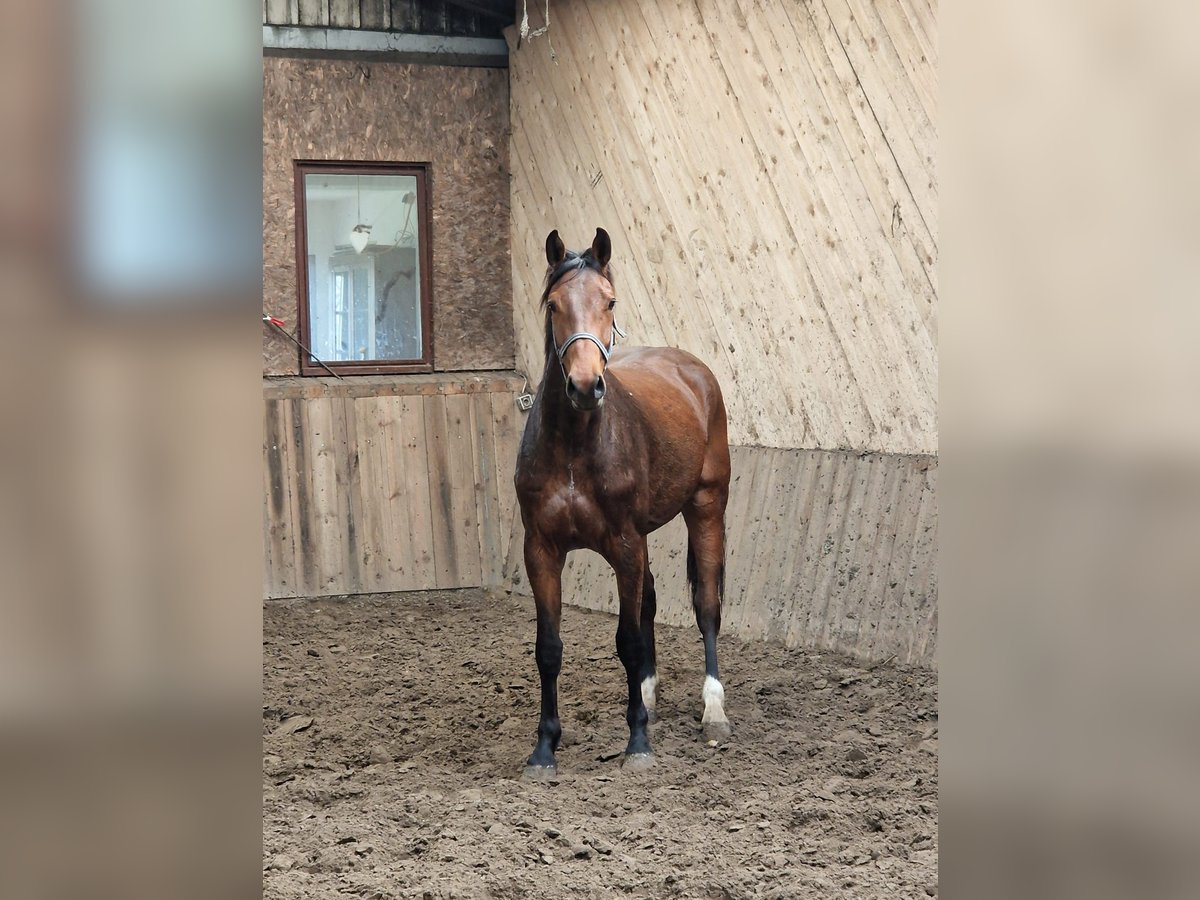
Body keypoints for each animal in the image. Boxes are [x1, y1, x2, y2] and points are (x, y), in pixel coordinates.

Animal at [516, 229, 729, 777]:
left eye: (609, 302)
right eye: (553, 305)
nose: (585, 386)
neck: (575, 447)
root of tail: (692, 369)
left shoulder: (625, 545)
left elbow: (628, 641)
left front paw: (638, 744)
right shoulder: (542, 550)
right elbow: (549, 648)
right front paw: (544, 748)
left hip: (707, 507)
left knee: (707, 606)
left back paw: (713, 709)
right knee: (649, 601)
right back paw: (648, 698)